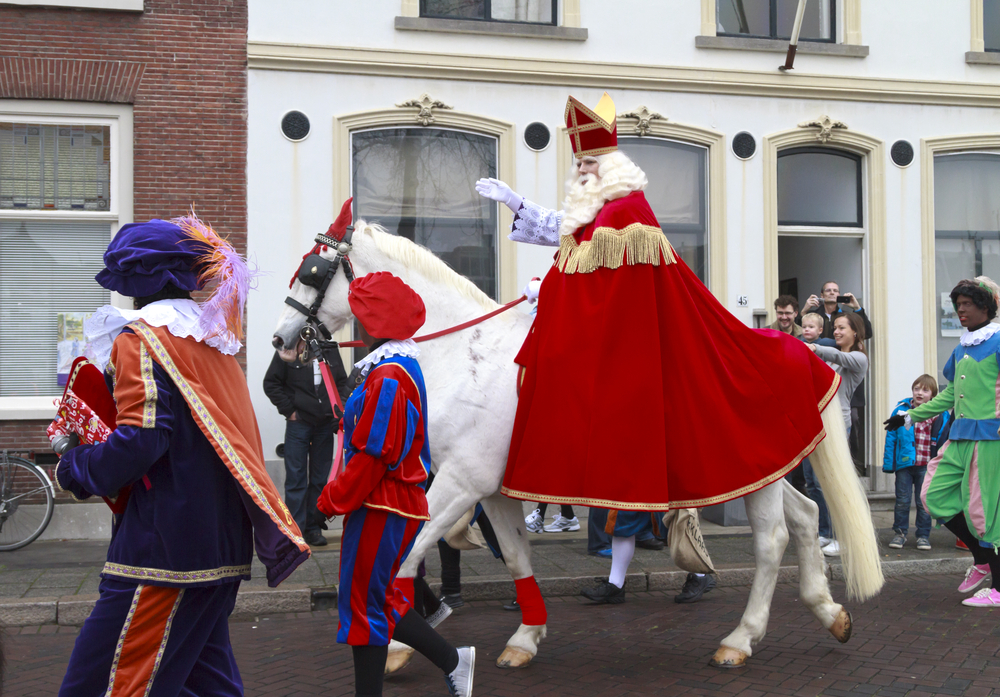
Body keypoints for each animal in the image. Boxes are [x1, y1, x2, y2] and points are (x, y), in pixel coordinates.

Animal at [274, 223, 884, 668]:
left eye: (312, 271)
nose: (281, 339)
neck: (463, 351)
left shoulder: (461, 481)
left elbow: (409, 551)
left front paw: (399, 644)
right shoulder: (491, 489)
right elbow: (514, 554)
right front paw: (525, 637)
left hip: (750, 473)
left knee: (772, 538)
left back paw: (740, 638)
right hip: (762, 469)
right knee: (805, 516)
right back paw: (828, 612)